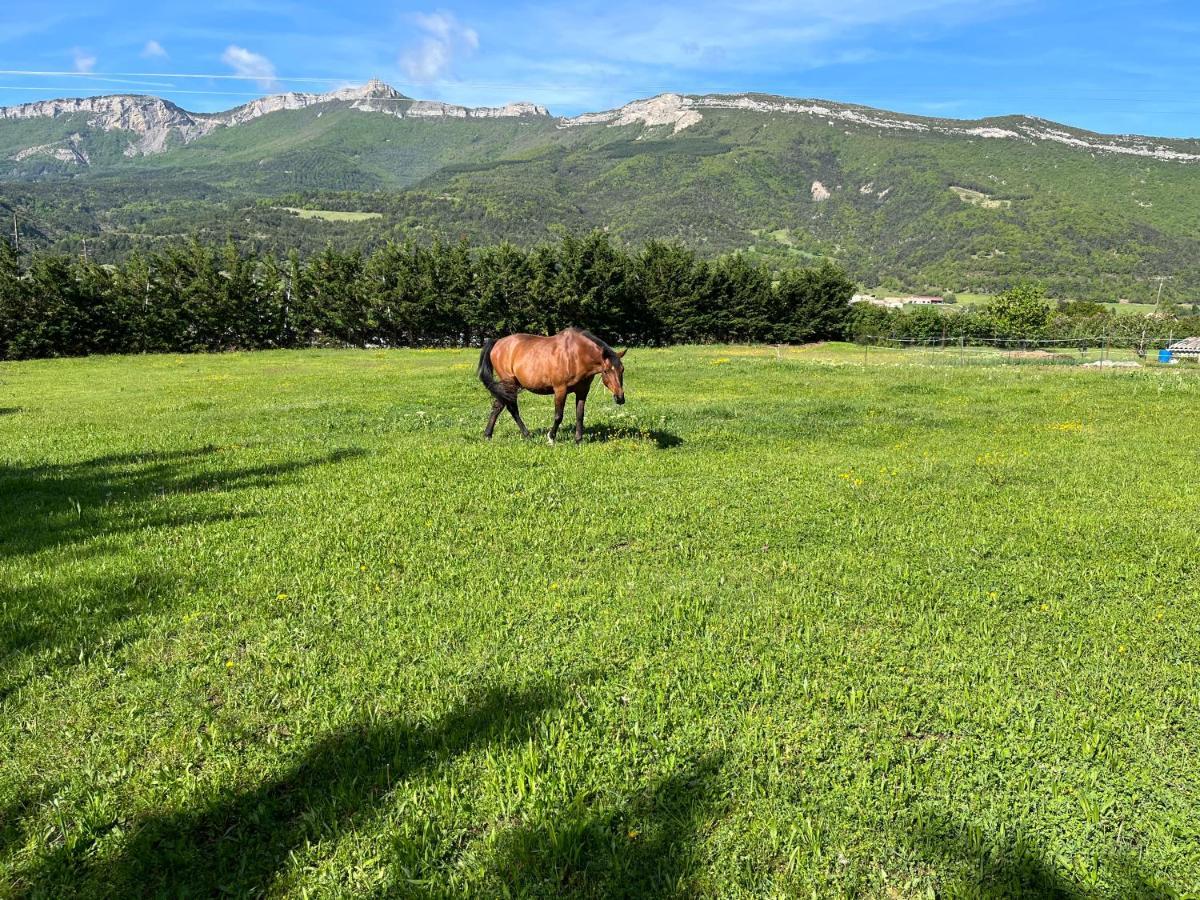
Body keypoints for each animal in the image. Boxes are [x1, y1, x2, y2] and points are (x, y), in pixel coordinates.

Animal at [477, 328, 628, 446]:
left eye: (622, 369)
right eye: (606, 371)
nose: (620, 398)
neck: (576, 355)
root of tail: (497, 342)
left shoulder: (582, 391)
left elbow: (580, 414)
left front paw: (578, 440)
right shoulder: (560, 389)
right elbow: (558, 416)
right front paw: (551, 438)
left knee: (498, 407)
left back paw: (488, 435)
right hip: (509, 383)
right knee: (511, 408)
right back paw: (526, 434)